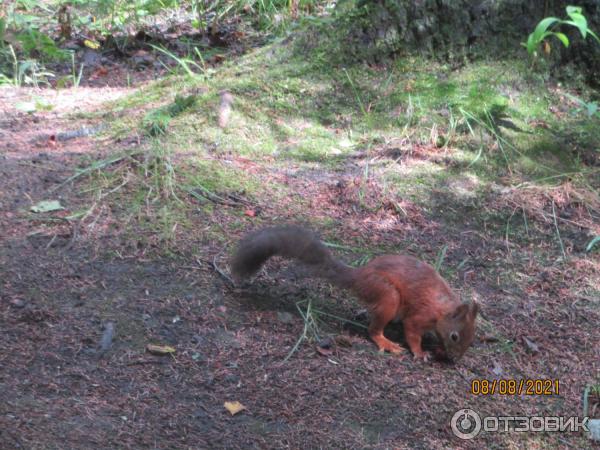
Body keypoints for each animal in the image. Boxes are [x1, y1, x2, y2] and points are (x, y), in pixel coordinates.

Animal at [230, 225, 478, 362]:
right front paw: (420, 353)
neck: (443, 309)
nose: (455, 359)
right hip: (387, 295)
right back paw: (386, 342)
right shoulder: (421, 316)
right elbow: (412, 332)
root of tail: (360, 276)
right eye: (455, 336)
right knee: (373, 330)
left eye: (472, 338)